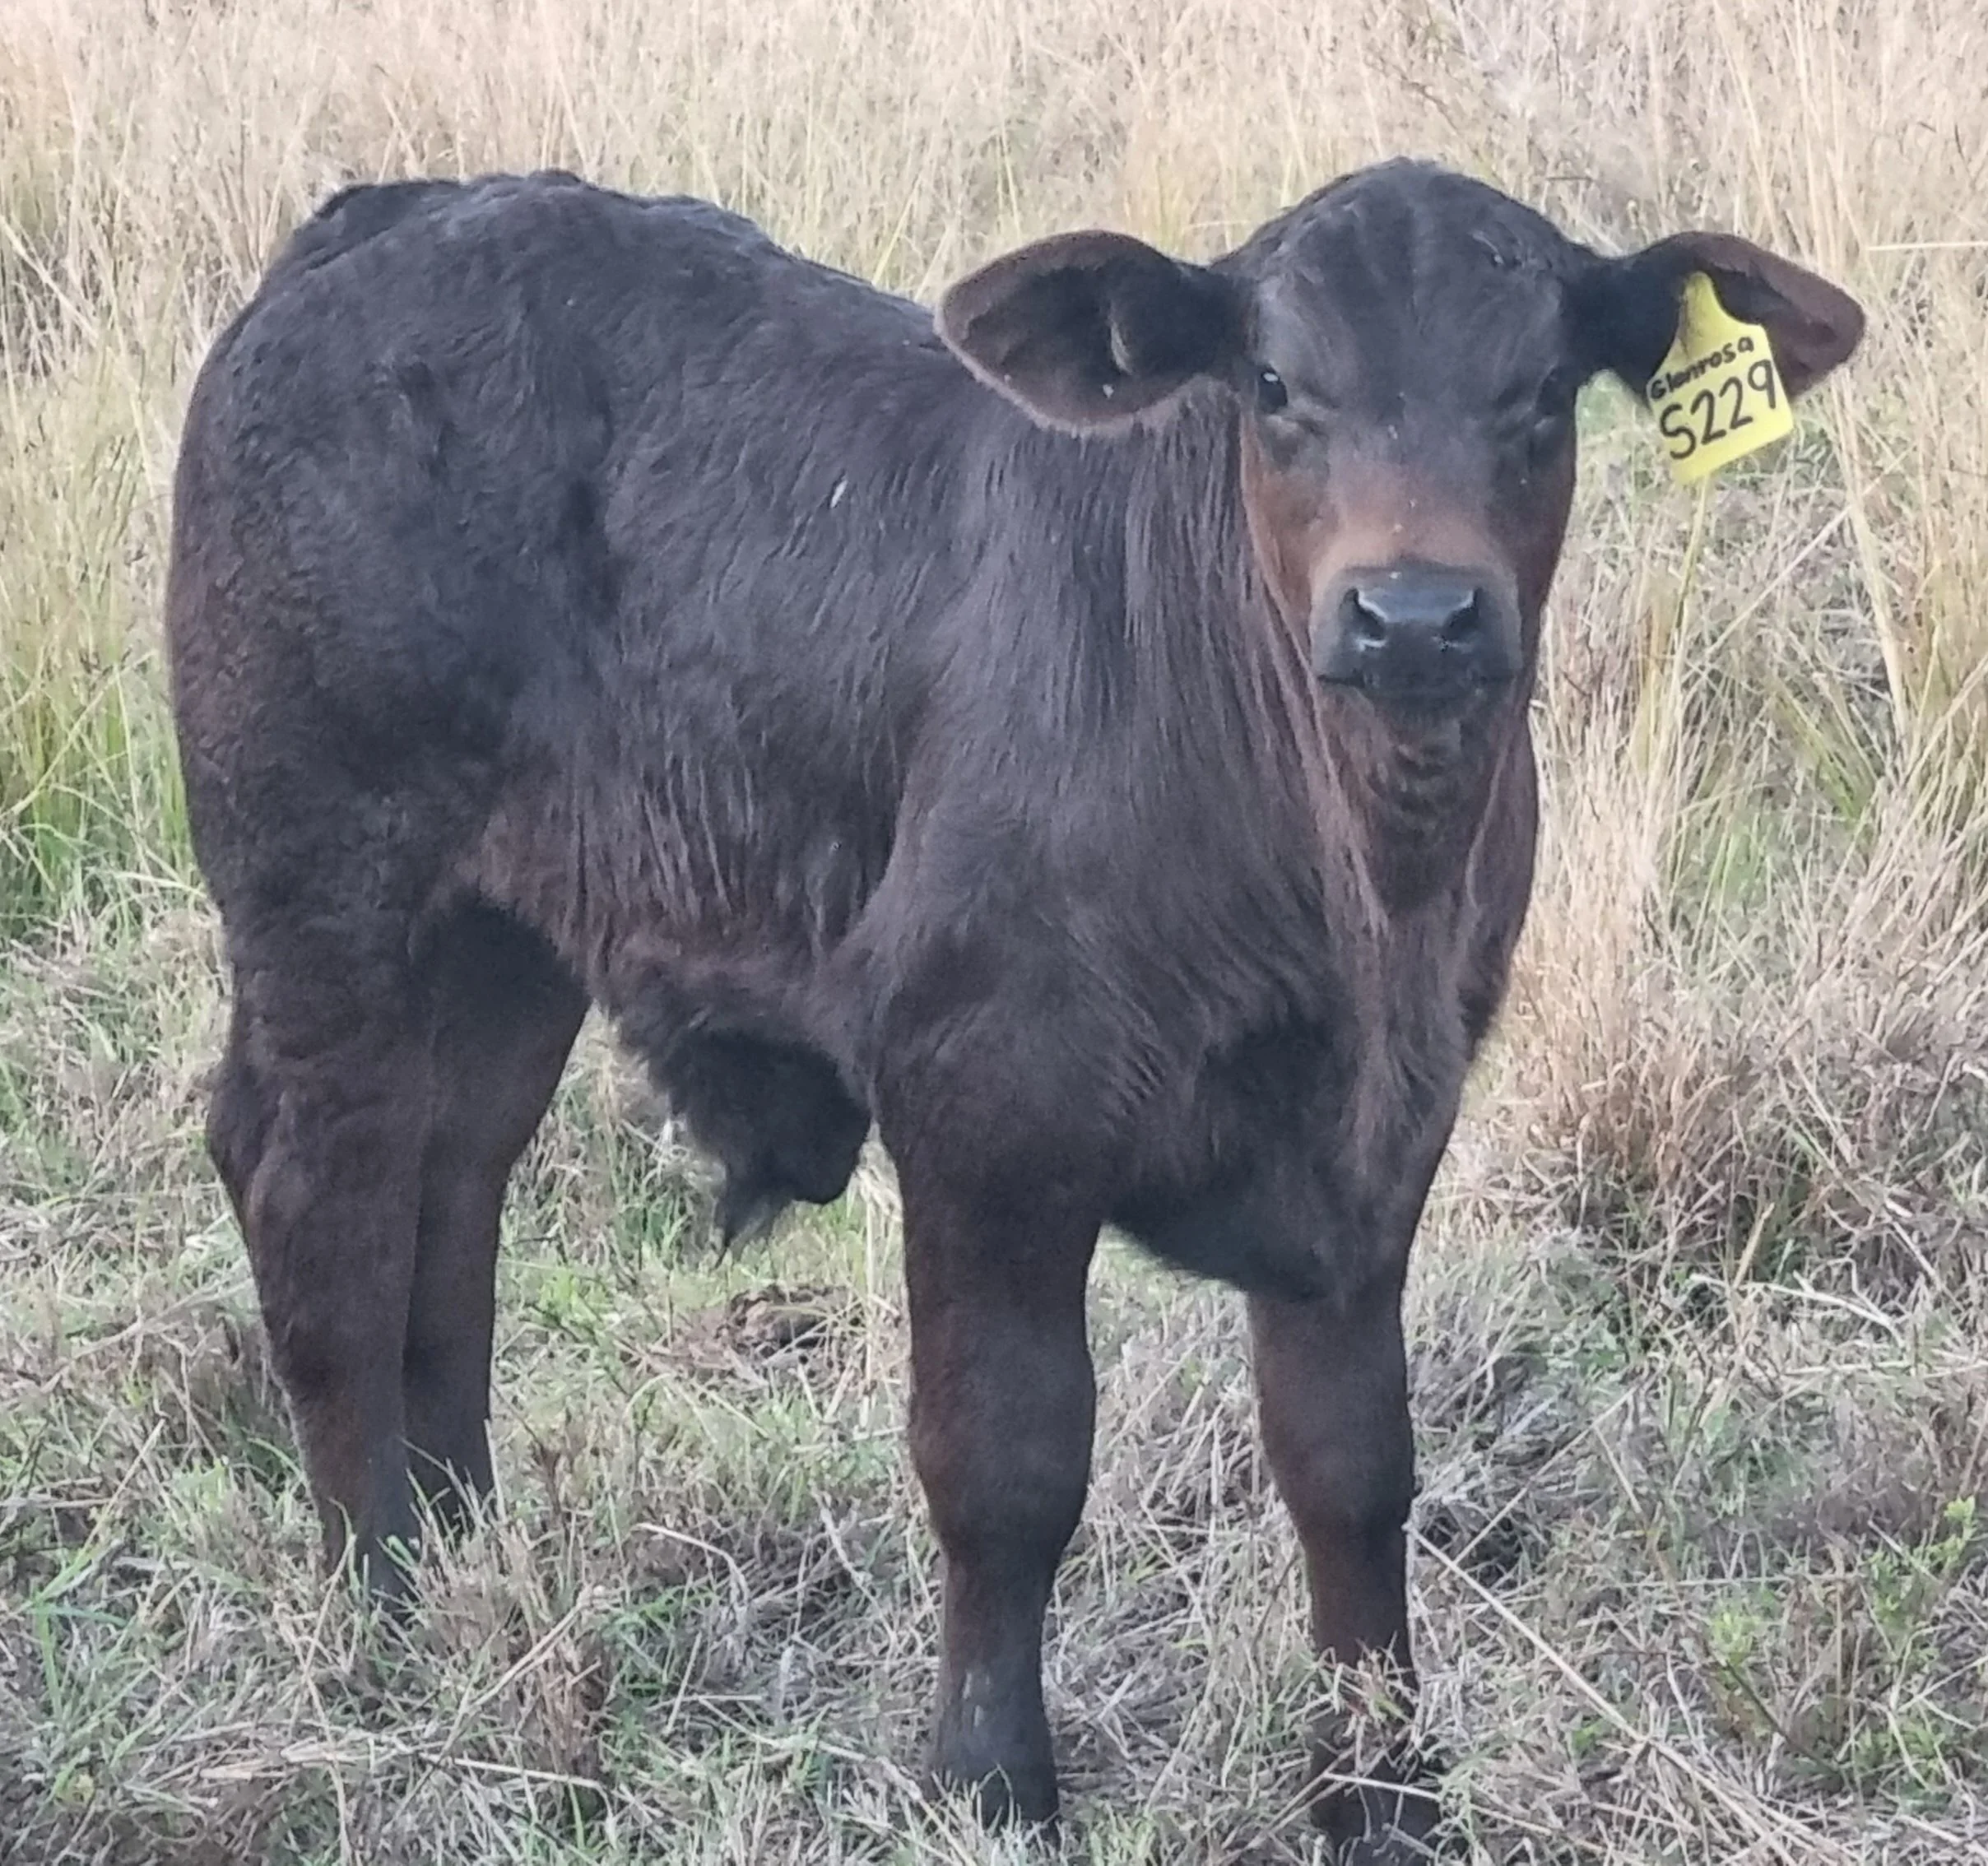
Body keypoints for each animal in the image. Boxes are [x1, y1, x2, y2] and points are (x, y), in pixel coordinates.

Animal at [164, 158, 1862, 1858]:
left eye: (1542, 390)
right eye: (1271, 387)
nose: (1416, 613)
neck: (1356, 882)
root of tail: (402, 210)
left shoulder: (1382, 1137)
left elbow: (1353, 1462)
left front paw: (1381, 1789)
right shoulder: (985, 1102)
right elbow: (1005, 1459)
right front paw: (993, 1777)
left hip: (501, 939)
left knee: (450, 1196)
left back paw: (465, 1552)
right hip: (328, 887)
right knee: (321, 1194)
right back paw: (380, 1600)